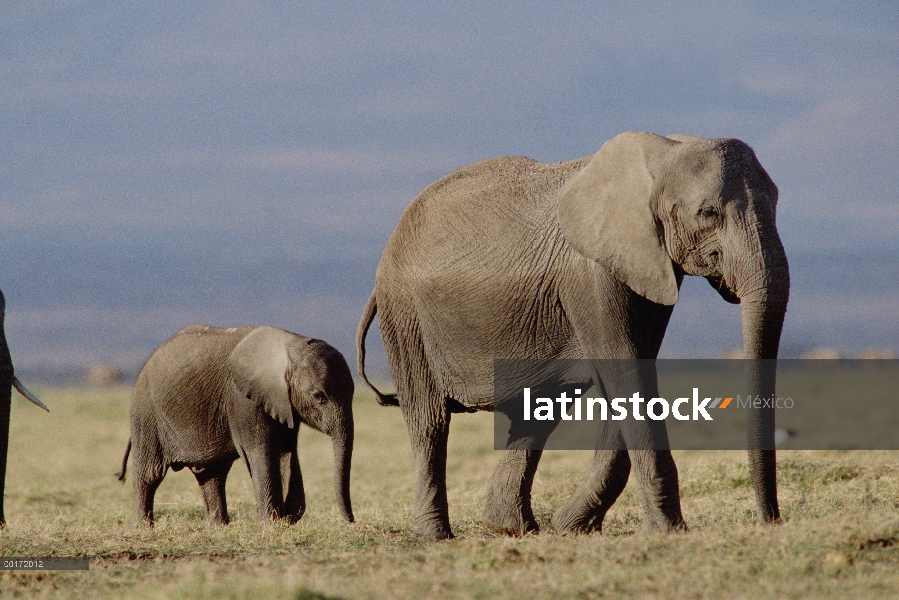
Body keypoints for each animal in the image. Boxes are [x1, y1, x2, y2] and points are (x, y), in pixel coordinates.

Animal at [118, 324, 356, 524]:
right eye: (319, 397)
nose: (351, 522)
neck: (289, 345)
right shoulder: (242, 399)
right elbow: (261, 451)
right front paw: (271, 523)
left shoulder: (283, 403)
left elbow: (286, 451)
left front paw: (287, 517)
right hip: (147, 414)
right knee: (150, 474)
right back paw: (142, 527)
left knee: (212, 474)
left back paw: (218, 527)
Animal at [356, 131, 792, 540]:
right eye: (708, 213)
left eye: (776, 204)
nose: (771, 520)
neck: (662, 154)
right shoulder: (589, 275)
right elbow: (624, 371)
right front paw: (666, 532)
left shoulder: (648, 265)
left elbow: (632, 371)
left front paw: (572, 526)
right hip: (407, 317)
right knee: (429, 422)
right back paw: (436, 536)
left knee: (536, 414)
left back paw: (510, 528)